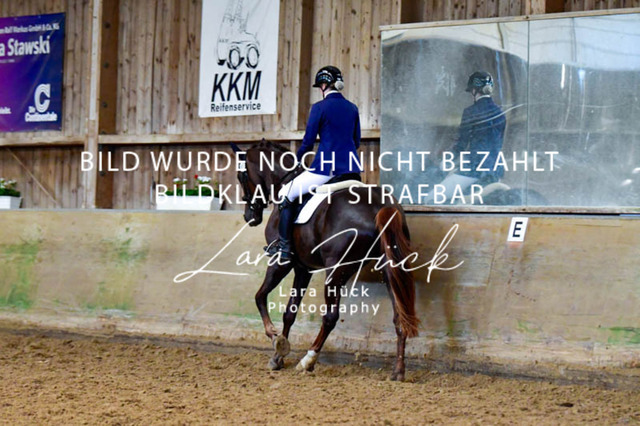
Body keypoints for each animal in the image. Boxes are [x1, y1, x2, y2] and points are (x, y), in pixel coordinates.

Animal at [231, 140, 419, 381]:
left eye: (241, 176)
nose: (249, 217)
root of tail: (379, 206)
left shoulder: (282, 262)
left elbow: (260, 296)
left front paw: (275, 339)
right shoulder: (304, 268)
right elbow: (290, 312)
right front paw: (278, 356)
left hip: (336, 270)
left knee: (330, 317)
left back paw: (308, 361)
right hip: (388, 268)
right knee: (400, 315)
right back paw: (398, 371)